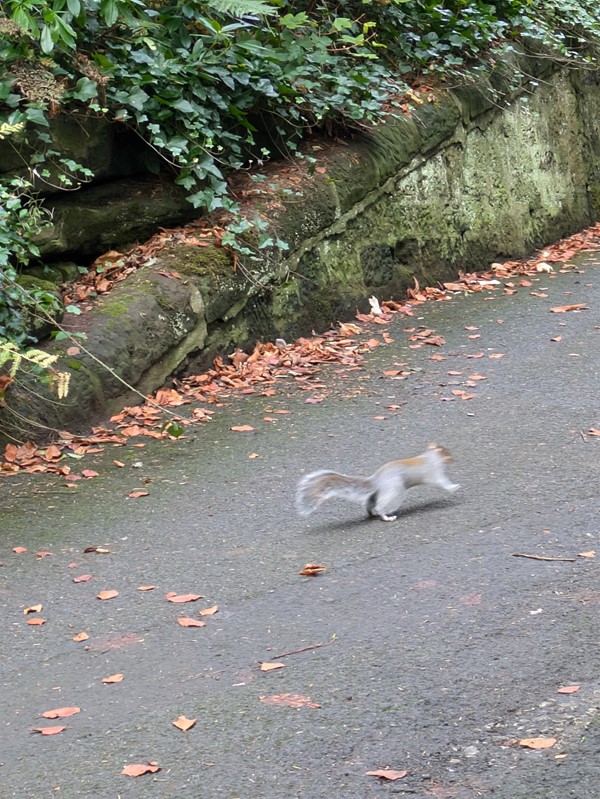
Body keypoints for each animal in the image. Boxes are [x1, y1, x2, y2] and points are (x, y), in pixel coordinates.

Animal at [296, 440, 460, 520]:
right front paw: (454, 487)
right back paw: (386, 517)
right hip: (394, 491)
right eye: (447, 453)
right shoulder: (434, 472)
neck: (431, 457)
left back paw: (372, 514)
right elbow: (442, 482)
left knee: (369, 504)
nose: (453, 459)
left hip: (377, 493)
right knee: (382, 506)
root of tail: (376, 480)